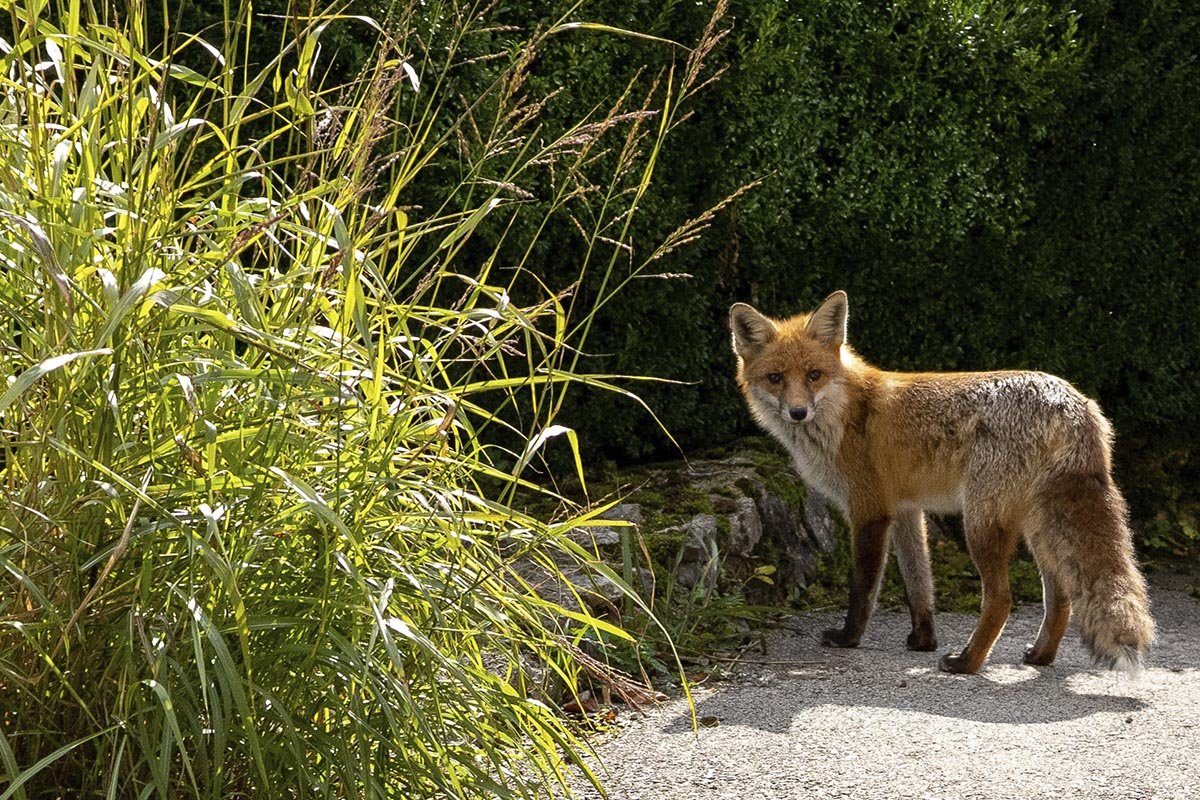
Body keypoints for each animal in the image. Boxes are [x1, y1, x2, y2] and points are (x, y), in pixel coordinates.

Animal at [729, 290, 1155, 674]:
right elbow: (919, 584)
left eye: (814, 375)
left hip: (981, 523)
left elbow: (863, 588)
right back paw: (1040, 656)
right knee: (1062, 595)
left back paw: (967, 662)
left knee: (1001, 599)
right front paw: (923, 639)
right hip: (1036, 526)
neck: (845, 413)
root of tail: (1073, 402)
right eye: (775, 378)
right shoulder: (905, 510)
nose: (798, 412)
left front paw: (849, 639)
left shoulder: (869, 510)